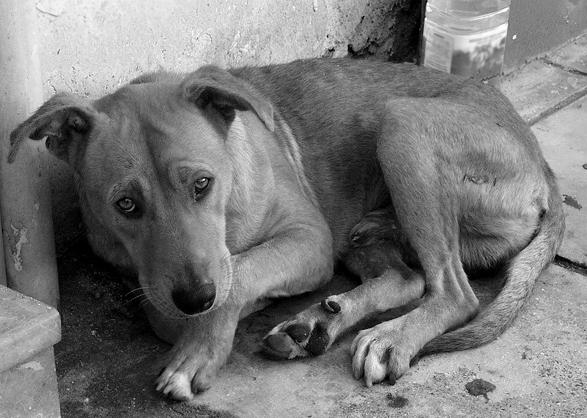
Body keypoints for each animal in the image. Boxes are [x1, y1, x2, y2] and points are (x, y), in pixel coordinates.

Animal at [9, 58, 564, 400]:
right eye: (125, 205)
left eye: (202, 184)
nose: (195, 297)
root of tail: (543, 164)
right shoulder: (152, 282)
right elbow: (178, 307)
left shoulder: (309, 240)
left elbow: (240, 276)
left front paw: (201, 350)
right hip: (362, 230)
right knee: (408, 277)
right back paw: (318, 323)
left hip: (402, 124)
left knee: (454, 292)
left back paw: (390, 338)